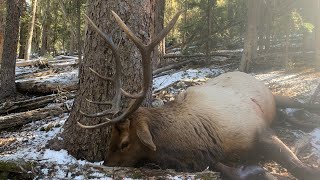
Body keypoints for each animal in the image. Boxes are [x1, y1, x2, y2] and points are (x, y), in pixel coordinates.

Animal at [78, 11, 320, 180]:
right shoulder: (209, 158)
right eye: (110, 137)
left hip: (273, 95)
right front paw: (257, 170)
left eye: (125, 143)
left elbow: (301, 169)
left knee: (299, 104)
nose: (105, 164)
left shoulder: (260, 129)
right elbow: (227, 170)